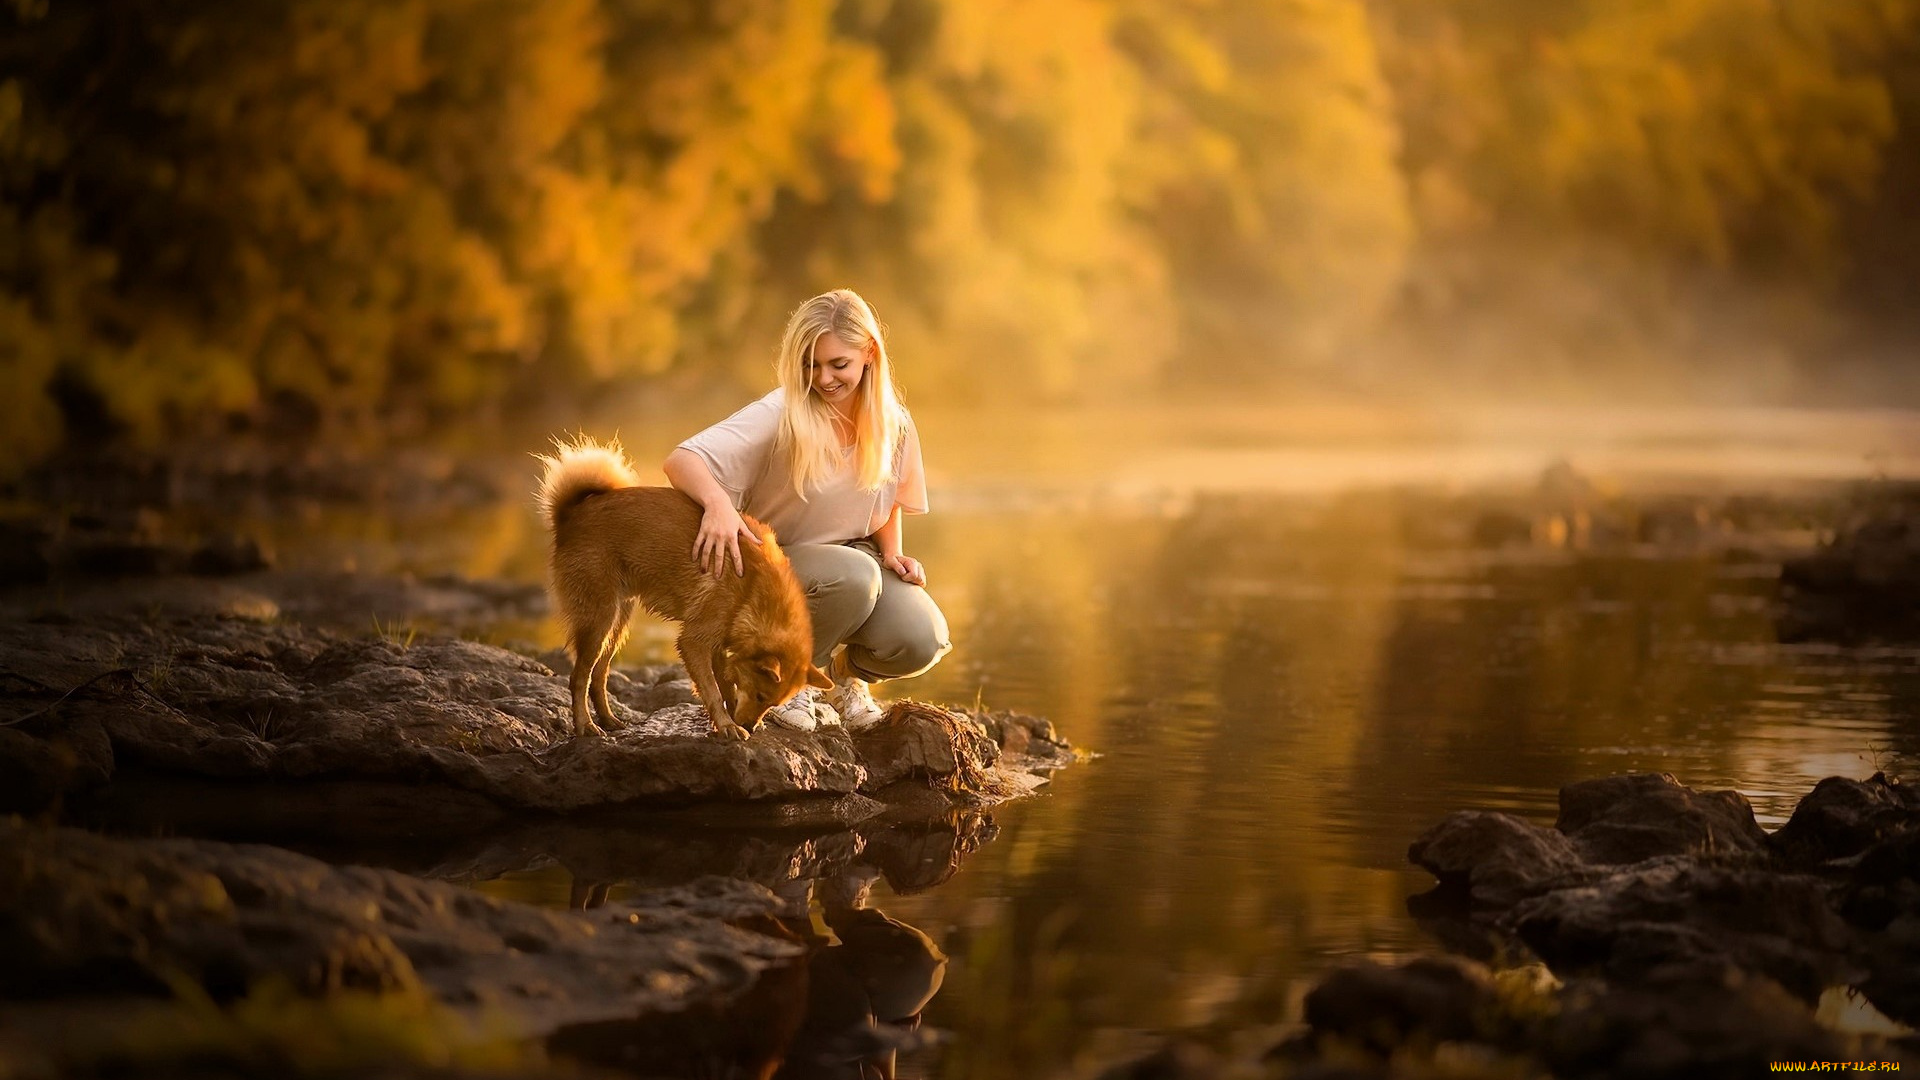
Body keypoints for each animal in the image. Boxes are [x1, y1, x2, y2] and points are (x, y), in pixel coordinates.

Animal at [533, 432, 825, 734]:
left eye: (771, 703)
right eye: (760, 695)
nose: (751, 726)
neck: (753, 587)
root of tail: (570, 515)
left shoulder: (718, 645)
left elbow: (726, 687)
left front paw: (731, 720)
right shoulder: (694, 642)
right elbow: (713, 690)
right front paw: (727, 725)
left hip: (616, 622)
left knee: (599, 674)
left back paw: (609, 719)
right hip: (598, 619)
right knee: (579, 677)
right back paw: (585, 725)